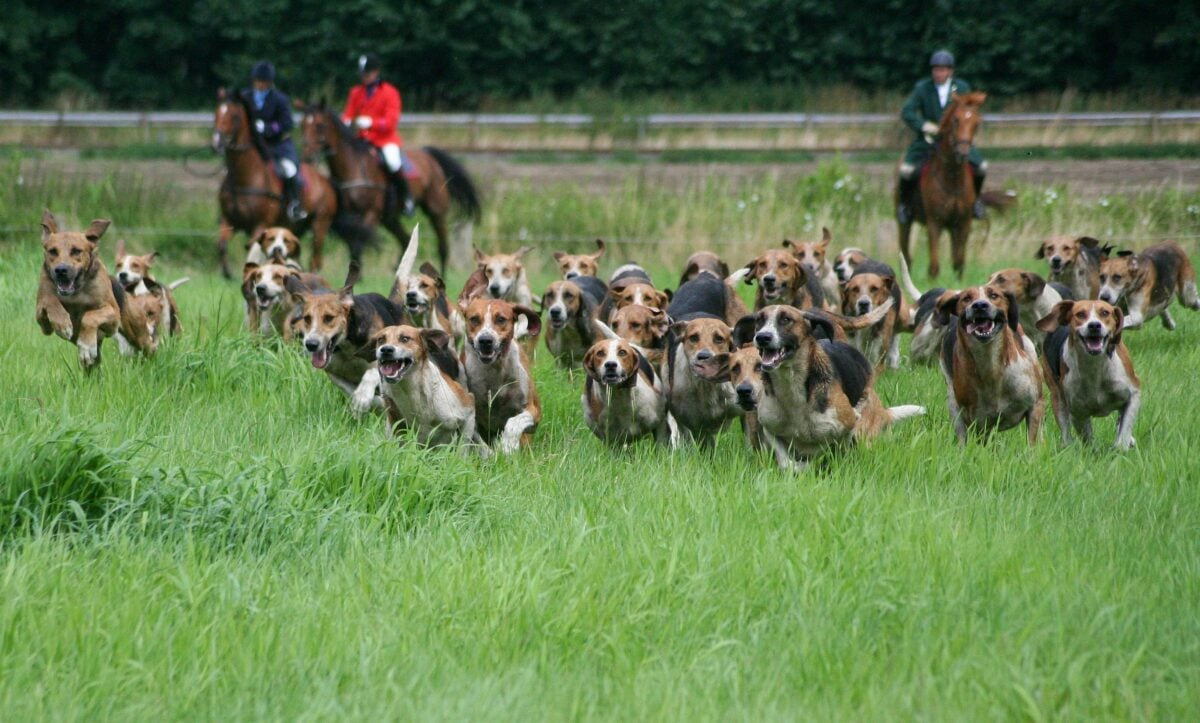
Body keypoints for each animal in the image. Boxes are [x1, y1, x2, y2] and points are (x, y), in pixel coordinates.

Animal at [211, 87, 340, 278]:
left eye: (234, 116)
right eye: (217, 112)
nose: (216, 142)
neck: (244, 177)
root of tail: (325, 181)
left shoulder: (261, 224)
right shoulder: (228, 221)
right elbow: (222, 245)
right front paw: (227, 272)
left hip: (320, 225)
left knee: (315, 259)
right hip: (296, 228)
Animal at [297, 103, 480, 276]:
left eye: (320, 125)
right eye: (303, 125)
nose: (307, 155)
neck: (354, 168)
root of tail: (428, 155)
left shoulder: (371, 213)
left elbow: (358, 244)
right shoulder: (353, 218)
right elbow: (354, 241)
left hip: (436, 212)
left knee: (442, 246)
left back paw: (441, 276)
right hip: (390, 219)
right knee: (405, 240)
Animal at [892, 89, 1012, 278]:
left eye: (976, 122)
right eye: (956, 120)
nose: (962, 153)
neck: (952, 177)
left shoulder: (963, 223)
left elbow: (959, 263)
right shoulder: (934, 223)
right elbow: (934, 267)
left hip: (952, 227)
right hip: (905, 223)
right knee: (906, 256)